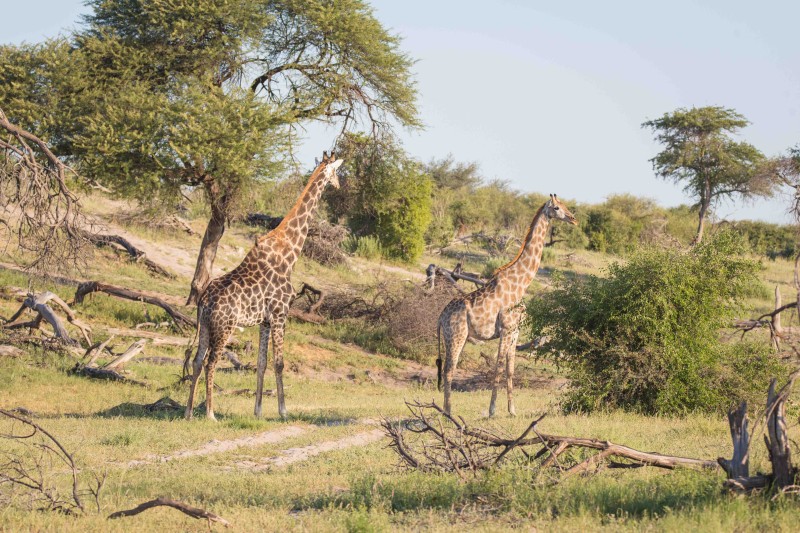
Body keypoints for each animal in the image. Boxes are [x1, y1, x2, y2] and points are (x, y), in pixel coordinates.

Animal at [185, 152, 344, 418]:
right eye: (336, 171)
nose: (339, 185)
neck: (289, 254)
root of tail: (204, 301)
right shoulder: (281, 314)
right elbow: (279, 363)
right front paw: (283, 411)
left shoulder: (265, 321)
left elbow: (261, 363)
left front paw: (258, 411)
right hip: (225, 327)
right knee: (210, 362)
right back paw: (210, 414)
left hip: (205, 325)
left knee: (197, 361)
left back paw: (188, 412)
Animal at [438, 194, 576, 416]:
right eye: (556, 207)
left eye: (565, 205)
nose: (573, 218)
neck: (521, 284)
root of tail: (441, 316)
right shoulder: (505, 329)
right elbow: (498, 368)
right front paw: (492, 410)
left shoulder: (515, 331)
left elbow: (510, 370)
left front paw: (512, 410)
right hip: (456, 336)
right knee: (449, 370)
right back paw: (448, 412)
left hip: (457, 337)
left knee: (448, 369)